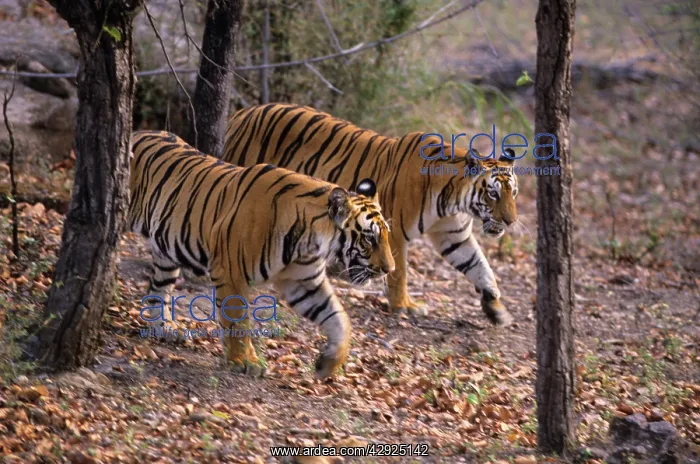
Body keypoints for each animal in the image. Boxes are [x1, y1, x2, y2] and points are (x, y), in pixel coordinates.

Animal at [128, 130, 395, 379]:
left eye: (385, 236)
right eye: (369, 238)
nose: (389, 269)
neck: (309, 241)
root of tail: (137, 132)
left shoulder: (304, 283)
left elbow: (339, 319)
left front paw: (328, 364)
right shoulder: (230, 272)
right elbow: (237, 318)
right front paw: (244, 361)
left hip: (166, 253)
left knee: (158, 289)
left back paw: (164, 328)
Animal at [221, 103, 520, 326]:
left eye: (513, 193)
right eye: (493, 194)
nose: (511, 221)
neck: (454, 200)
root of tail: (241, 113)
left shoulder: (454, 234)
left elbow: (480, 266)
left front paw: (496, 308)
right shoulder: (395, 230)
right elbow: (399, 272)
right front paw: (404, 306)